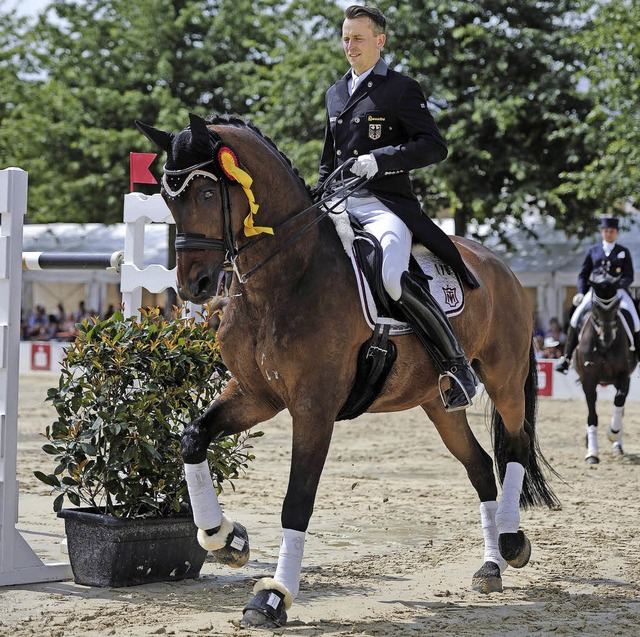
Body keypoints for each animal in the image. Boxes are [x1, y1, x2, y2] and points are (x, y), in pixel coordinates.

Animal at [135, 113, 556, 628]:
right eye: (169, 197)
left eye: (209, 194)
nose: (192, 285)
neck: (285, 278)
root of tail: (499, 265)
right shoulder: (256, 395)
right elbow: (193, 438)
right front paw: (227, 538)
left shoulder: (313, 408)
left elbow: (297, 501)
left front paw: (272, 596)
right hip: (437, 402)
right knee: (479, 466)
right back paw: (490, 565)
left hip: (503, 377)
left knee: (514, 444)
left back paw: (512, 543)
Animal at [572, 268, 636, 462]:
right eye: (596, 306)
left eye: (616, 306)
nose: (606, 338)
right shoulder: (588, 379)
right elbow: (592, 414)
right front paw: (592, 452)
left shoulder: (624, 376)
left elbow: (619, 401)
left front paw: (614, 433)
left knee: (620, 406)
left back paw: (618, 445)